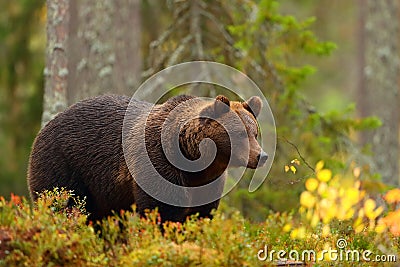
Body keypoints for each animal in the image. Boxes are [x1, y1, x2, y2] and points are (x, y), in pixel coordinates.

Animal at [26, 95, 268, 223]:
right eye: (239, 133)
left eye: (255, 132)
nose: (262, 156)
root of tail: (44, 127)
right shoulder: (158, 164)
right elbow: (162, 210)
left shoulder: (208, 183)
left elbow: (201, 213)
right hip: (62, 164)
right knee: (60, 203)